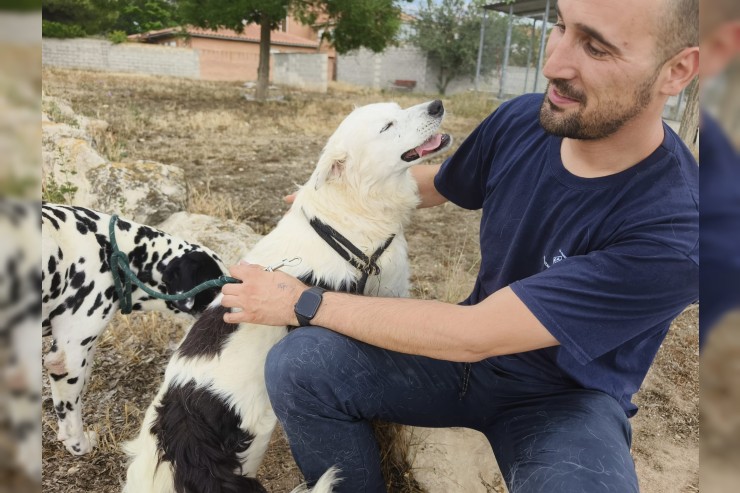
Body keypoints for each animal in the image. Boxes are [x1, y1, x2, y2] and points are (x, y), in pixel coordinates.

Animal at [123, 98, 450, 490]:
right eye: (387, 126)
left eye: (397, 108)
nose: (437, 105)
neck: (345, 217)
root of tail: (179, 433)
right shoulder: (387, 292)